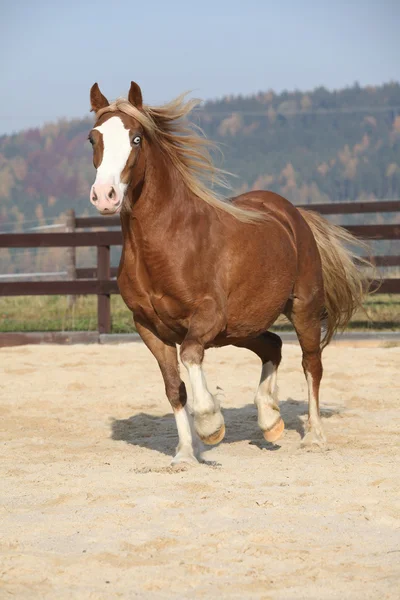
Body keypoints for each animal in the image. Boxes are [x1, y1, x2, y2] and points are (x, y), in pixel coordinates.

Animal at [88, 79, 372, 464]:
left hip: (302, 309)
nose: (105, 195)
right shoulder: (148, 327)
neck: (166, 244)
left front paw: (210, 425)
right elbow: (174, 388)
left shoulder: (207, 315)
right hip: (241, 326)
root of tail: (292, 214)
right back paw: (269, 420)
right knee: (272, 346)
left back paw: (313, 437)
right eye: (93, 138)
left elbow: (190, 355)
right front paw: (184, 455)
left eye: (136, 139)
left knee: (311, 364)